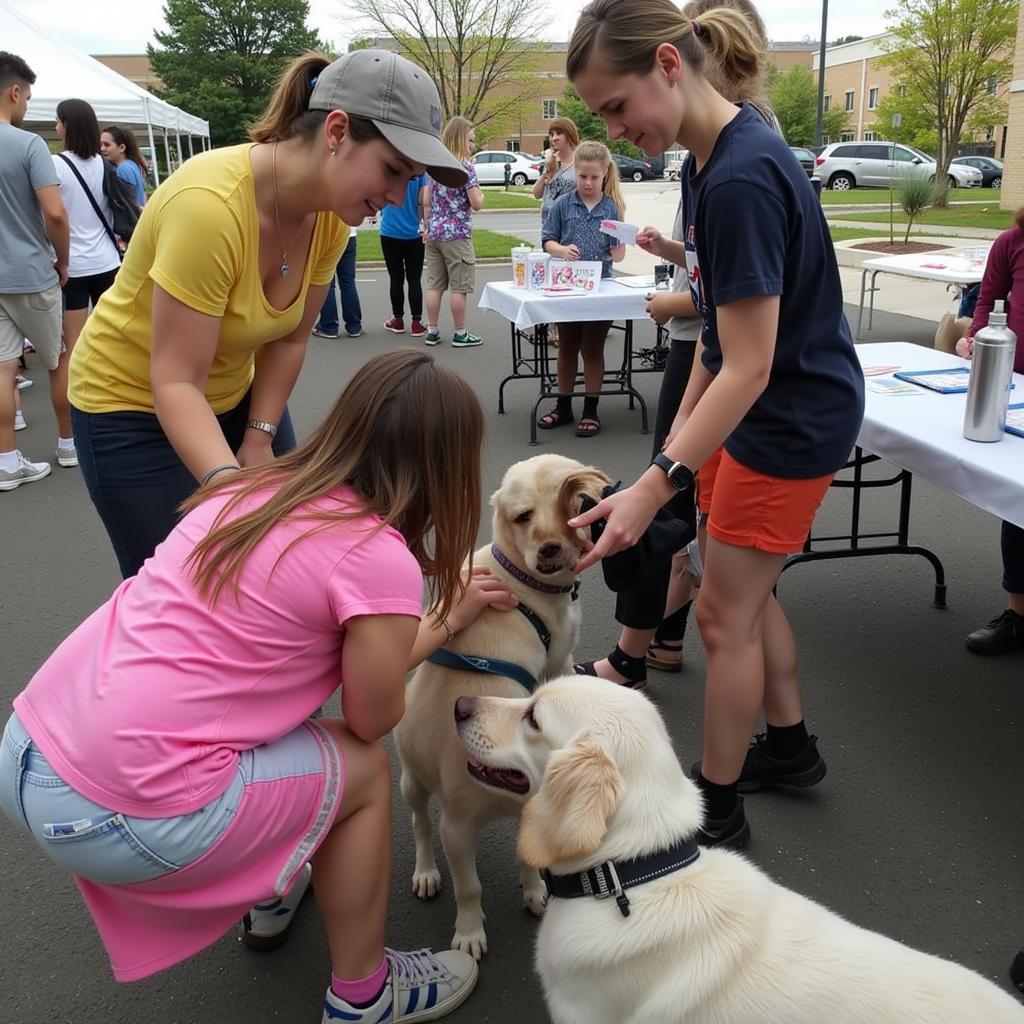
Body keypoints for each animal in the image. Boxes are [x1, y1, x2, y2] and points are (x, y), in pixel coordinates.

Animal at [395, 454, 606, 958]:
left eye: (572, 503)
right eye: (523, 516)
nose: (550, 550)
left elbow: (528, 860)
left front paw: (533, 891)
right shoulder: (456, 828)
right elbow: (468, 887)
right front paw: (469, 933)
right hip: (410, 782)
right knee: (419, 822)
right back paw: (426, 871)